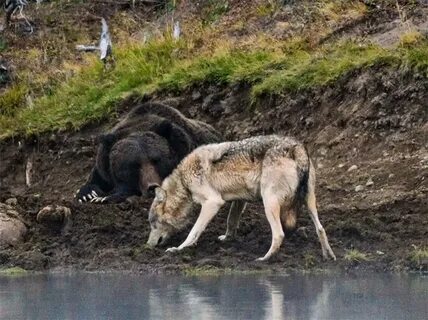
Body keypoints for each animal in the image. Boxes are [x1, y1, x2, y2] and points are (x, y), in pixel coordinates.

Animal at [74, 101, 221, 204]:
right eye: (133, 165)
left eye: (157, 160)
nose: (152, 187)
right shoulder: (104, 167)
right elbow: (95, 181)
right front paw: (89, 194)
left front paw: (104, 197)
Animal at [145, 134, 336, 262]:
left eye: (153, 224)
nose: (147, 246)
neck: (183, 181)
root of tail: (297, 147)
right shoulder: (239, 200)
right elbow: (231, 221)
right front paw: (227, 238)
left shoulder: (213, 202)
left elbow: (194, 231)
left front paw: (179, 249)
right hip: (310, 202)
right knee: (320, 229)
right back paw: (329, 256)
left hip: (269, 203)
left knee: (279, 234)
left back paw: (264, 259)